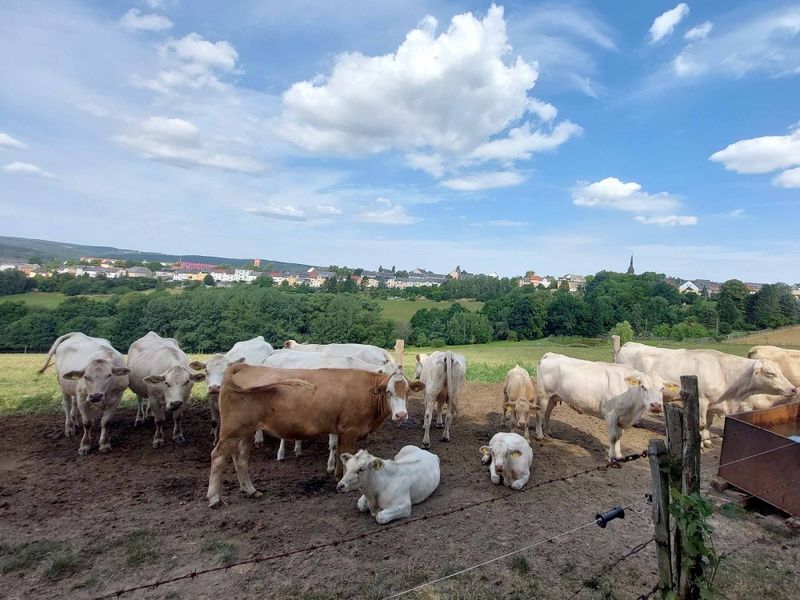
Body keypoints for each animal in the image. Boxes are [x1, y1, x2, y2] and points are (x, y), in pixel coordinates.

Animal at [206, 364, 424, 508]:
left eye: (408, 392)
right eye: (388, 392)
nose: (401, 415)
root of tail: (244, 366)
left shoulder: (340, 430)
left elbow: (340, 454)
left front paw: (337, 473)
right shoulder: (350, 430)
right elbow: (347, 452)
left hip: (246, 431)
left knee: (240, 458)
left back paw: (249, 489)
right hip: (231, 431)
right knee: (218, 457)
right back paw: (214, 498)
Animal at [612, 338, 792, 446]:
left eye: (780, 371)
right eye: (771, 373)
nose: (793, 388)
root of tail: (628, 345)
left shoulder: (713, 403)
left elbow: (709, 423)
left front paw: (706, 440)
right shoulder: (701, 400)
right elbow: (702, 423)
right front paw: (700, 443)